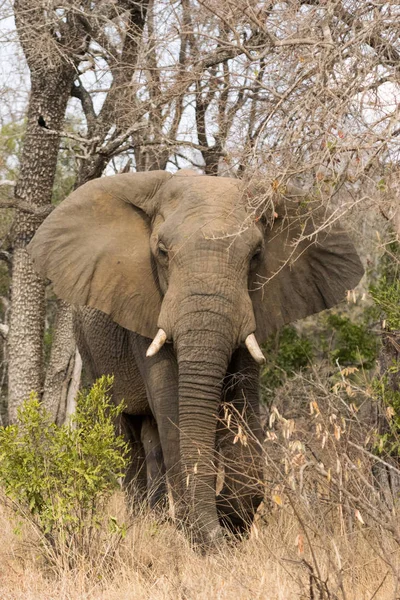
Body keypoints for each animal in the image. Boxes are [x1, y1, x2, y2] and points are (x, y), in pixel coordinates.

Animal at [28, 169, 364, 548]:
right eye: (161, 252)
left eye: (256, 255)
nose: (217, 533)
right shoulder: (146, 305)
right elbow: (172, 404)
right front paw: (203, 533)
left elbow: (242, 404)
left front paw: (226, 519)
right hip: (92, 349)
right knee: (128, 434)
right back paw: (143, 523)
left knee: (151, 437)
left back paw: (159, 521)